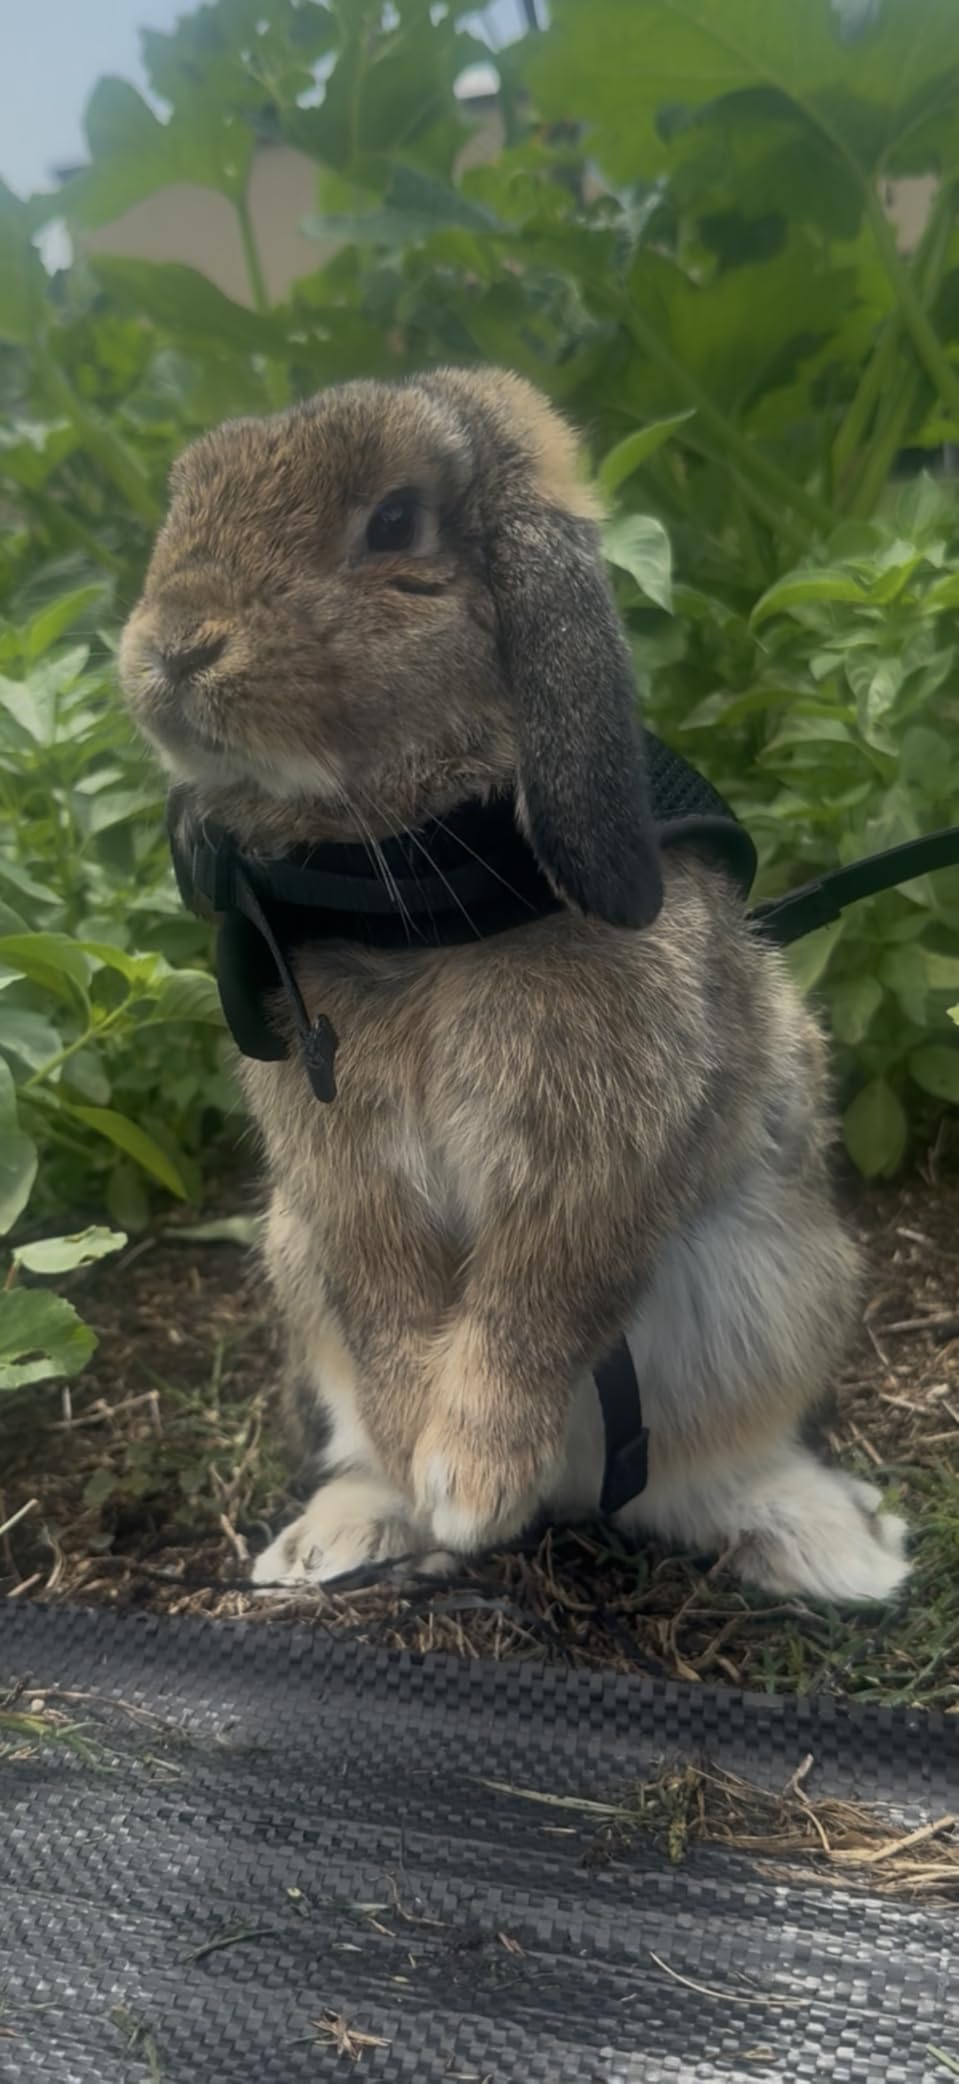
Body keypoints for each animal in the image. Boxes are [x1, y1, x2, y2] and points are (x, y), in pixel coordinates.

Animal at [120, 366, 908, 1605]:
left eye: (395, 521)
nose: (174, 647)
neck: (418, 899)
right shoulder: (346, 1190)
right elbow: (395, 1314)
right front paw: (427, 1468)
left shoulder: (598, 1163)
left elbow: (537, 1298)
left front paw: (473, 1478)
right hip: (300, 1267)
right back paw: (339, 1535)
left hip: (774, 1290)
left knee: (700, 1470)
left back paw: (828, 1544)